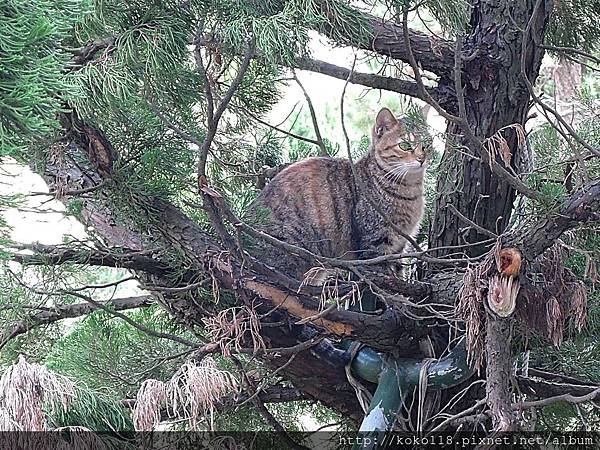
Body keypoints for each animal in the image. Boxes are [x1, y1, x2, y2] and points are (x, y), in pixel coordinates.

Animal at [247, 108, 426, 282]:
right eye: (405, 145)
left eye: (426, 145)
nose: (421, 158)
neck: (410, 191)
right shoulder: (375, 243)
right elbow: (381, 274)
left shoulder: (400, 245)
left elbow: (398, 271)